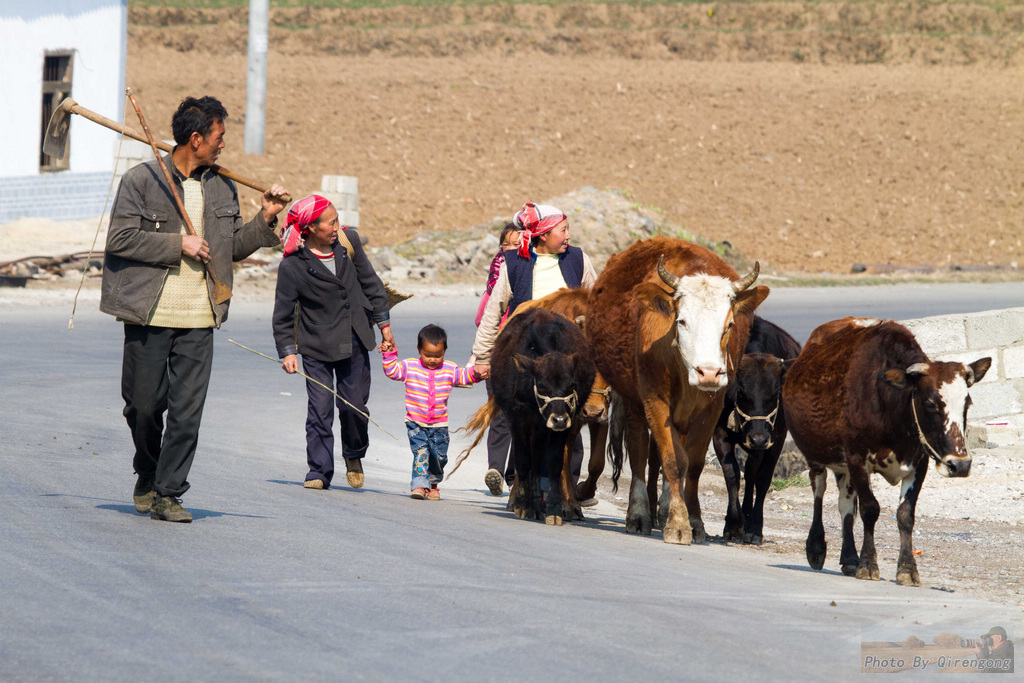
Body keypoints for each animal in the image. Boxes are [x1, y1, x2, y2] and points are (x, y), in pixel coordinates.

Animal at [585, 236, 770, 544]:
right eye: (681, 321)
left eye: (730, 324)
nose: (709, 372)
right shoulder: (655, 401)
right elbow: (673, 461)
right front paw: (678, 523)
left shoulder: (711, 408)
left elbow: (692, 463)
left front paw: (693, 519)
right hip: (635, 403)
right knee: (639, 452)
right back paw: (639, 513)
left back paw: (662, 507)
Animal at [782, 317, 991, 589]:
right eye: (929, 404)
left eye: (967, 404)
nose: (960, 465)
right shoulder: (858, 459)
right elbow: (870, 509)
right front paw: (868, 564)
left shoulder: (919, 463)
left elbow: (905, 515)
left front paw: (907, 569)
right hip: (816, 456)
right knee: (819, 492)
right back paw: (817, 547)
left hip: (844, 468)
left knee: (845, 505)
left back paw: (849, 558)